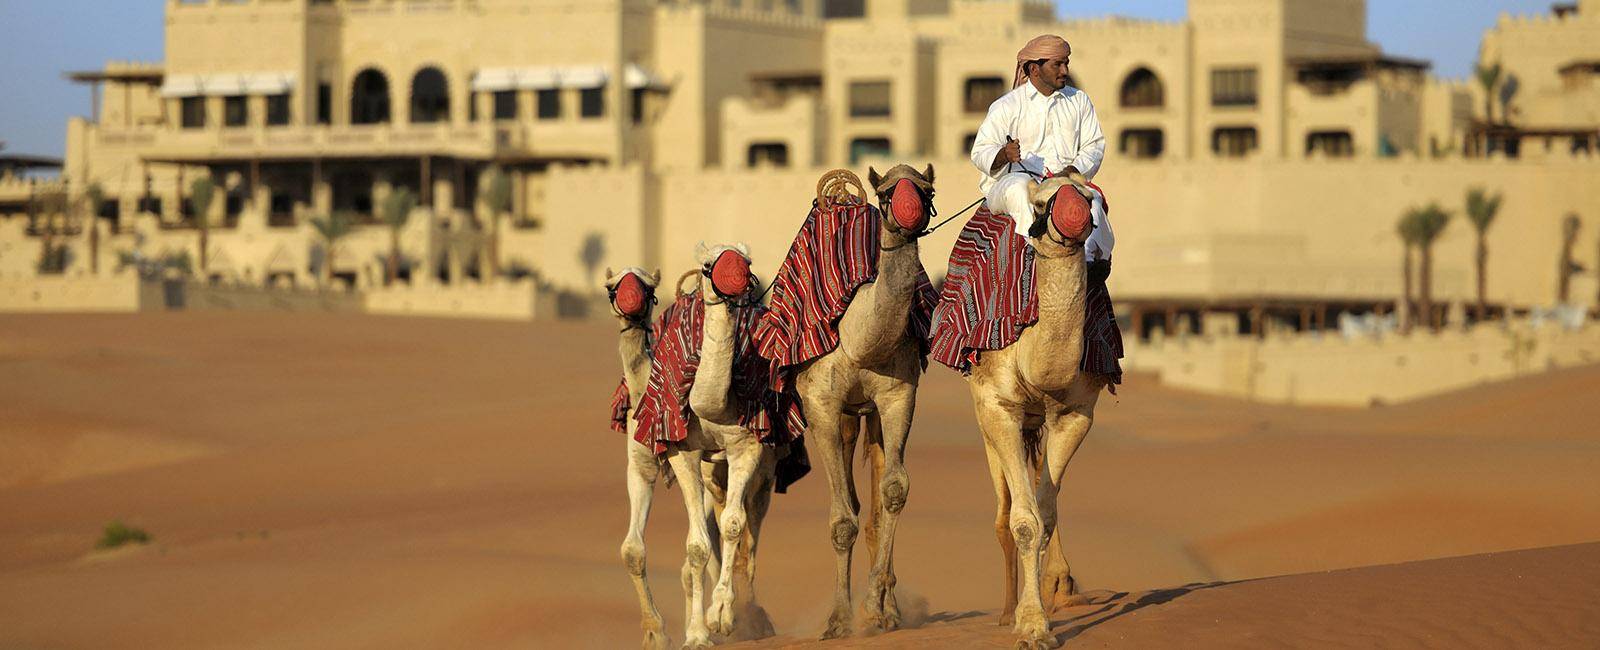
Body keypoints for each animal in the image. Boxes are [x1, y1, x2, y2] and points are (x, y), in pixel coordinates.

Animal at [604, 265, 713, 650]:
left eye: (649, 286)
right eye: (611, 286)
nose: (630, 301)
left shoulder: (692, 462)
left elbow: (697, 550)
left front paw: (697, 632)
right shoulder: (640, 468)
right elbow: (632, 551)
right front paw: (655, 632)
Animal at [774, 164, 934, 637]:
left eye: (927, 188)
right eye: (885, 193)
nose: (910, 214)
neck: (856, 335)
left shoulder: (899, 395)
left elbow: (894, 491)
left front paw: (876, 607)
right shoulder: (821, 406)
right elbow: (842, 520)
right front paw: (839, 619)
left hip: (872, 416)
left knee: (877, 503)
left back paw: (889, 608)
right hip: (840, 416)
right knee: (850, 497)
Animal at [960, 173, 1113, 650]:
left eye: (1090, 198)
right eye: (1043, 202)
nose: (1074, 218)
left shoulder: (1075, 414)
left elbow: (1044, 517)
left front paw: (1040, 618)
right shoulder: (999, 407)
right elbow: (1023, 522)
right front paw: (1027, 624)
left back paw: (1060, 586)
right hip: (985, 421)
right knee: (1003, 513)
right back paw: (1006, 610)